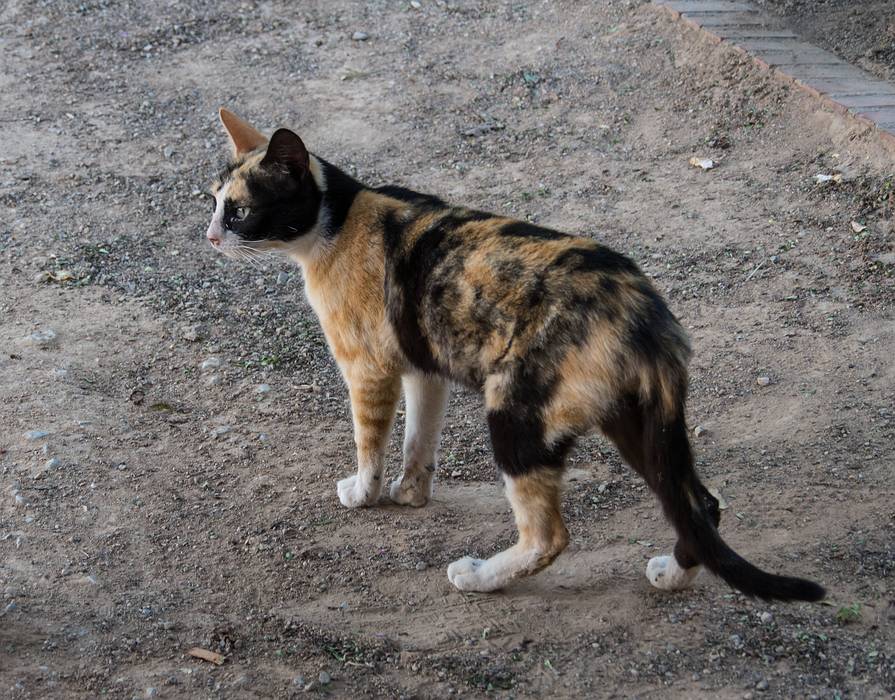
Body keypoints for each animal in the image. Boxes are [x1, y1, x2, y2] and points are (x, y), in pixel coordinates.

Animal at [203, 108, 824, 600]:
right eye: (211, 204)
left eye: (238, 212)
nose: (209, 237)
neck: (335, 222)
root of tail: (645, 312)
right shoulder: (426, 370)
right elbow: (418, 440)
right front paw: (412, 494)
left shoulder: (368, 370)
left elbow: (370, 444)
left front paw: (364, 494)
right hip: (638, 426)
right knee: (702, 506)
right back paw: (672, 576)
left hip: (517, 420)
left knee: (551, 538)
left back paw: (478, 577)